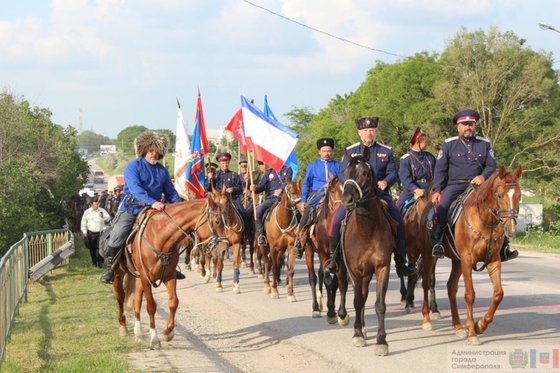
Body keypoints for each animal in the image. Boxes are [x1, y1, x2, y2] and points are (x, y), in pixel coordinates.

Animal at [112, 195, 229, 348]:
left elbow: (174, 302)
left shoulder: (169, 276)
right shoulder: (146, 278)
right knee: (120, 297)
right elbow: (151, 306)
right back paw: (123, 327)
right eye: (217, 221)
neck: (159, 236)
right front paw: (155, 338)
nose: (224, 250)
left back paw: (138, 332)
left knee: (136, 299)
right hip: (119, 274)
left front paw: (167, 332)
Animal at [336, 147, 394, 354]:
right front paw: (357, 334)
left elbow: (379, 304)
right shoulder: (354, 270)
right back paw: (351, 322)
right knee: (349, 291)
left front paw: (381, 341)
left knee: (365, 294)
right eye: (345, 172)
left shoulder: (382, 268)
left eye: (365, 173)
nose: (347, 200)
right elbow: (357, 300)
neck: (366, 229)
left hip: (367, 273)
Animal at [422, 164, 524, 344]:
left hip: (457, 261)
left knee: (451, 287)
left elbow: (499, 294)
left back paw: (457, 326)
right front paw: (472, 332)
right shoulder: (467, 260)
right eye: (499, 194)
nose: (510, 228)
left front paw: (480, 325)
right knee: (427, 283)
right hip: (430, 257)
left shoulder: (493, 260)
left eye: (519, 196)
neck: (486, 220)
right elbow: (470, 295)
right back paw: (427, 319)